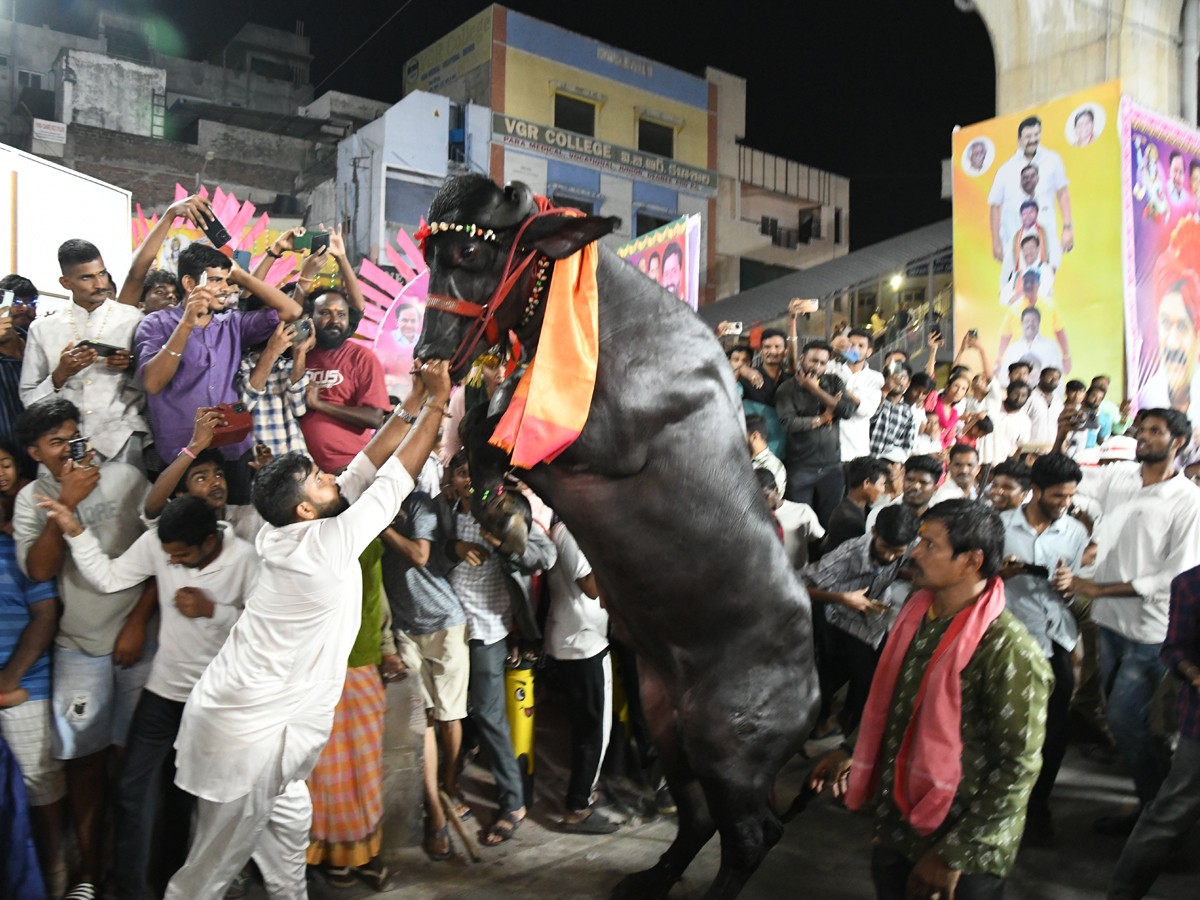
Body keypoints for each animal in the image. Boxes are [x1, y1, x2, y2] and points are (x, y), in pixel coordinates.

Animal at [417, 174, 820, 897]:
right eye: (432, 254)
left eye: (471, 255)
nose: (428, 356)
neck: (606, 321)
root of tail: (815, 694)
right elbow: (483, 433)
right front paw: (502, 514)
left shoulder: (602, 442)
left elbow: (495, 426)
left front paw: (504, 506)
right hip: (669, 724)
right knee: (700, 817)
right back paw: (653, 877)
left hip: (731, 748)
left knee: (751, 835)